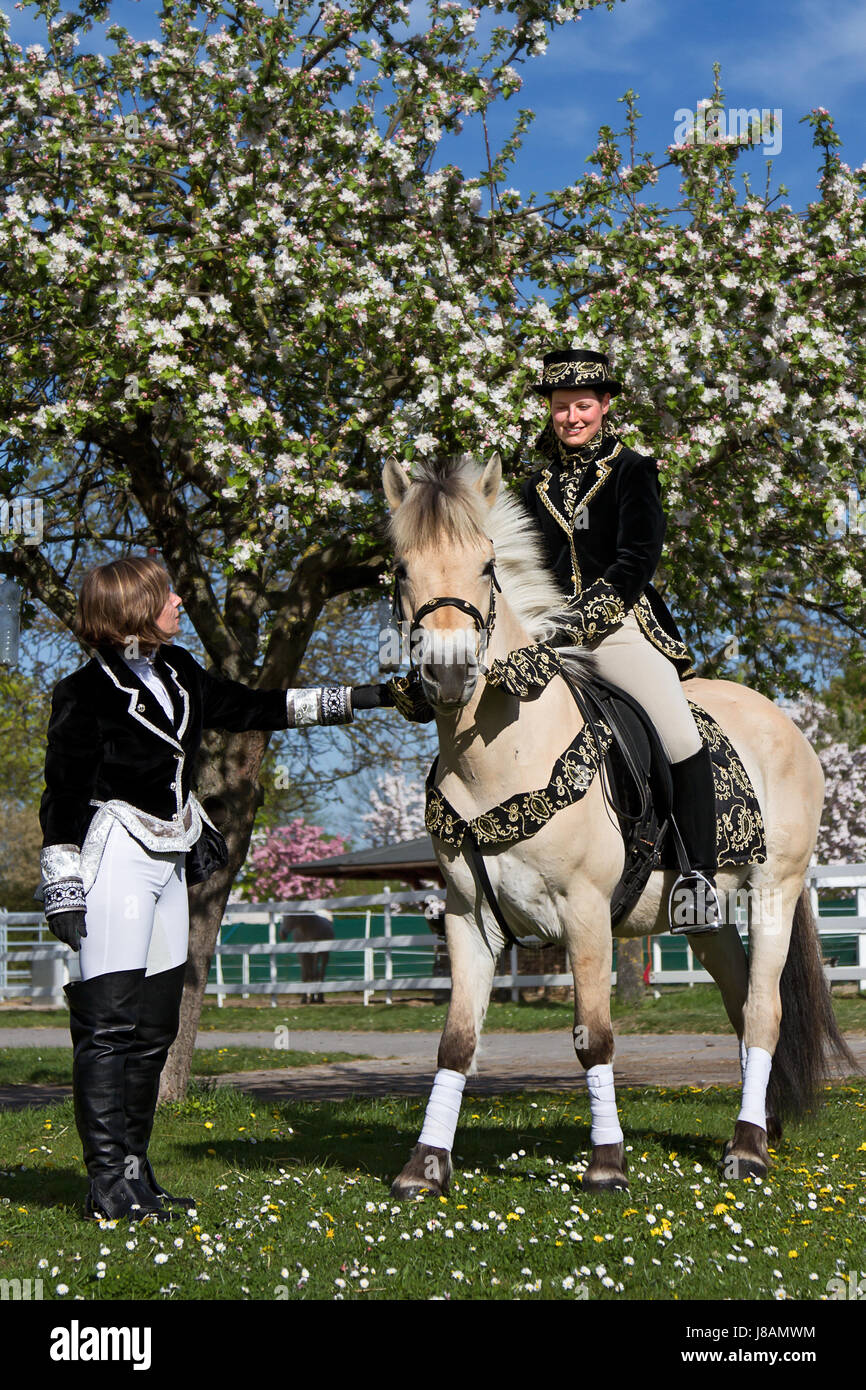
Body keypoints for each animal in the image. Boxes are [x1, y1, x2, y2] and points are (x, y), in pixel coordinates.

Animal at [381, 452, 856, 1197]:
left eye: (487, 565)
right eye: (402, 568)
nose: (450, 674)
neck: (503, 754)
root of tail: (783, 721)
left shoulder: (584, 914)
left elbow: (593, 1036)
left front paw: (607, 1163)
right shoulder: (467, 916)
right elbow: (456, 1041)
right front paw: (425, 1165)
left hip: (775, 891)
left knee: (764, 1011)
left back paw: (747, 1150)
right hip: (708, 916)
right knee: (738, 1004)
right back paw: (761, 1125)